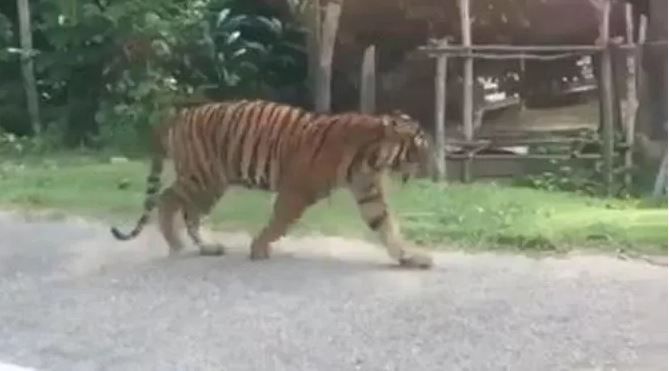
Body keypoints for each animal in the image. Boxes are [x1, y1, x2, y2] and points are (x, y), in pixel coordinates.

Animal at [109, 97, 434, 268]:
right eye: (420, 144)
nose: (433, 161)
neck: (372, 157)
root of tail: (180, 114)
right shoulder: (296, 190)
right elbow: (278, 222)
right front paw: (258, 249)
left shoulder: (368, 193)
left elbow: (387, 227)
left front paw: (411, 257)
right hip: (204, 178)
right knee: (168, 199)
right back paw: (177, 244)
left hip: (208, 182)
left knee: (186, 210)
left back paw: (205, 247)